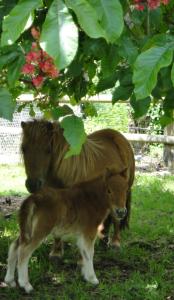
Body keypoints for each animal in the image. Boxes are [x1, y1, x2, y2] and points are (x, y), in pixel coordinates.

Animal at [20, 118, 135, 252]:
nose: (32, 184)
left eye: (48, 150)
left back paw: (115, 242)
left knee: (116, 218)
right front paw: (57, 251)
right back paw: (103, 241)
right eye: (24, 149)